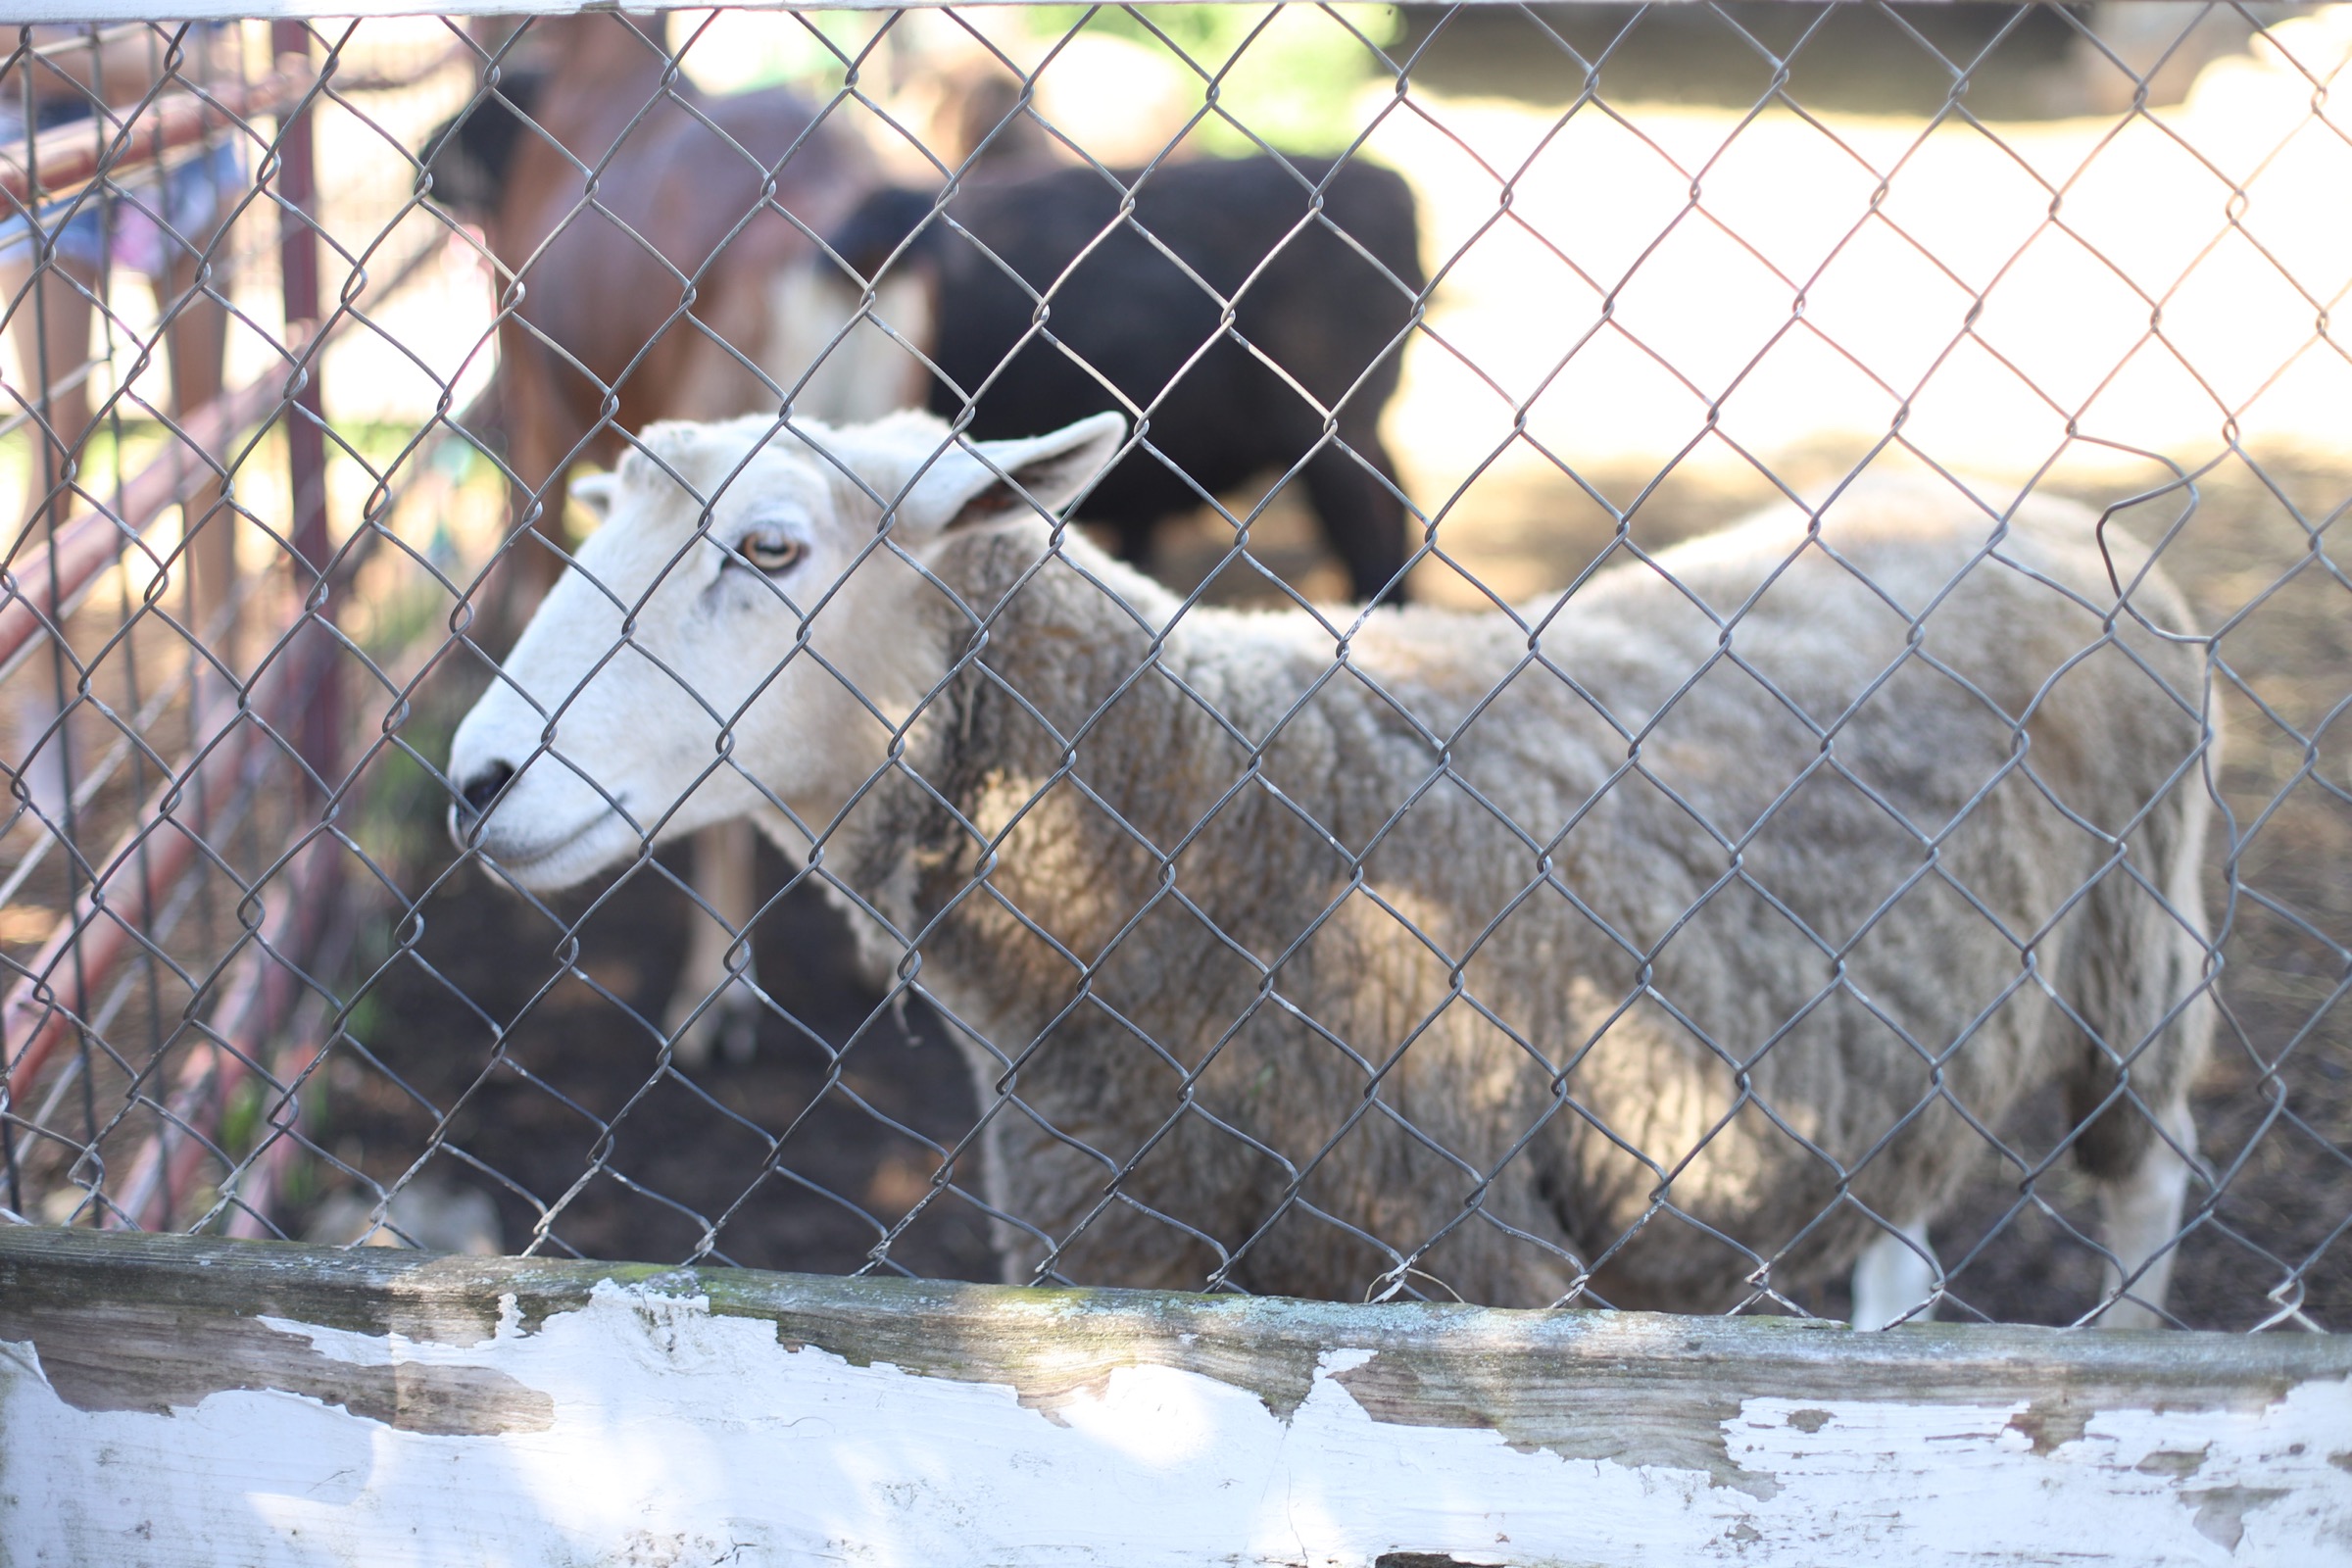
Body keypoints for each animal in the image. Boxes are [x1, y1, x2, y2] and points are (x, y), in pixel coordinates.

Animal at [444, 411, 2220, 1335]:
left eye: (770, 549)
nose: (475, 783)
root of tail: (2037, 506)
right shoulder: (1123, 1262)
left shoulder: (1465, 1258)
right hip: (1888, 1048)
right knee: (1901, 1210)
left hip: (2139, 957)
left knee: (2145, 1182)